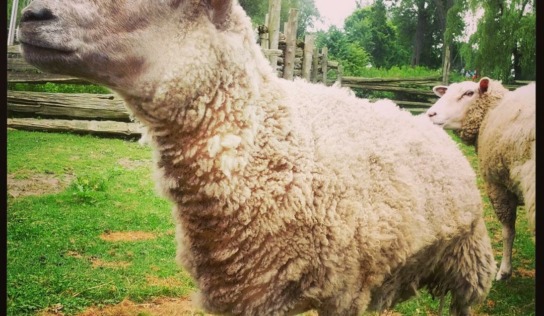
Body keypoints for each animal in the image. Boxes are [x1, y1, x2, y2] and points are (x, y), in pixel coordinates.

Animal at [424, 78, 536, 282]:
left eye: (469, 93)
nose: (430, 114)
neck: (491, 111)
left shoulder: (497, 185)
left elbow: (508, 231)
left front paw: (504, 271)